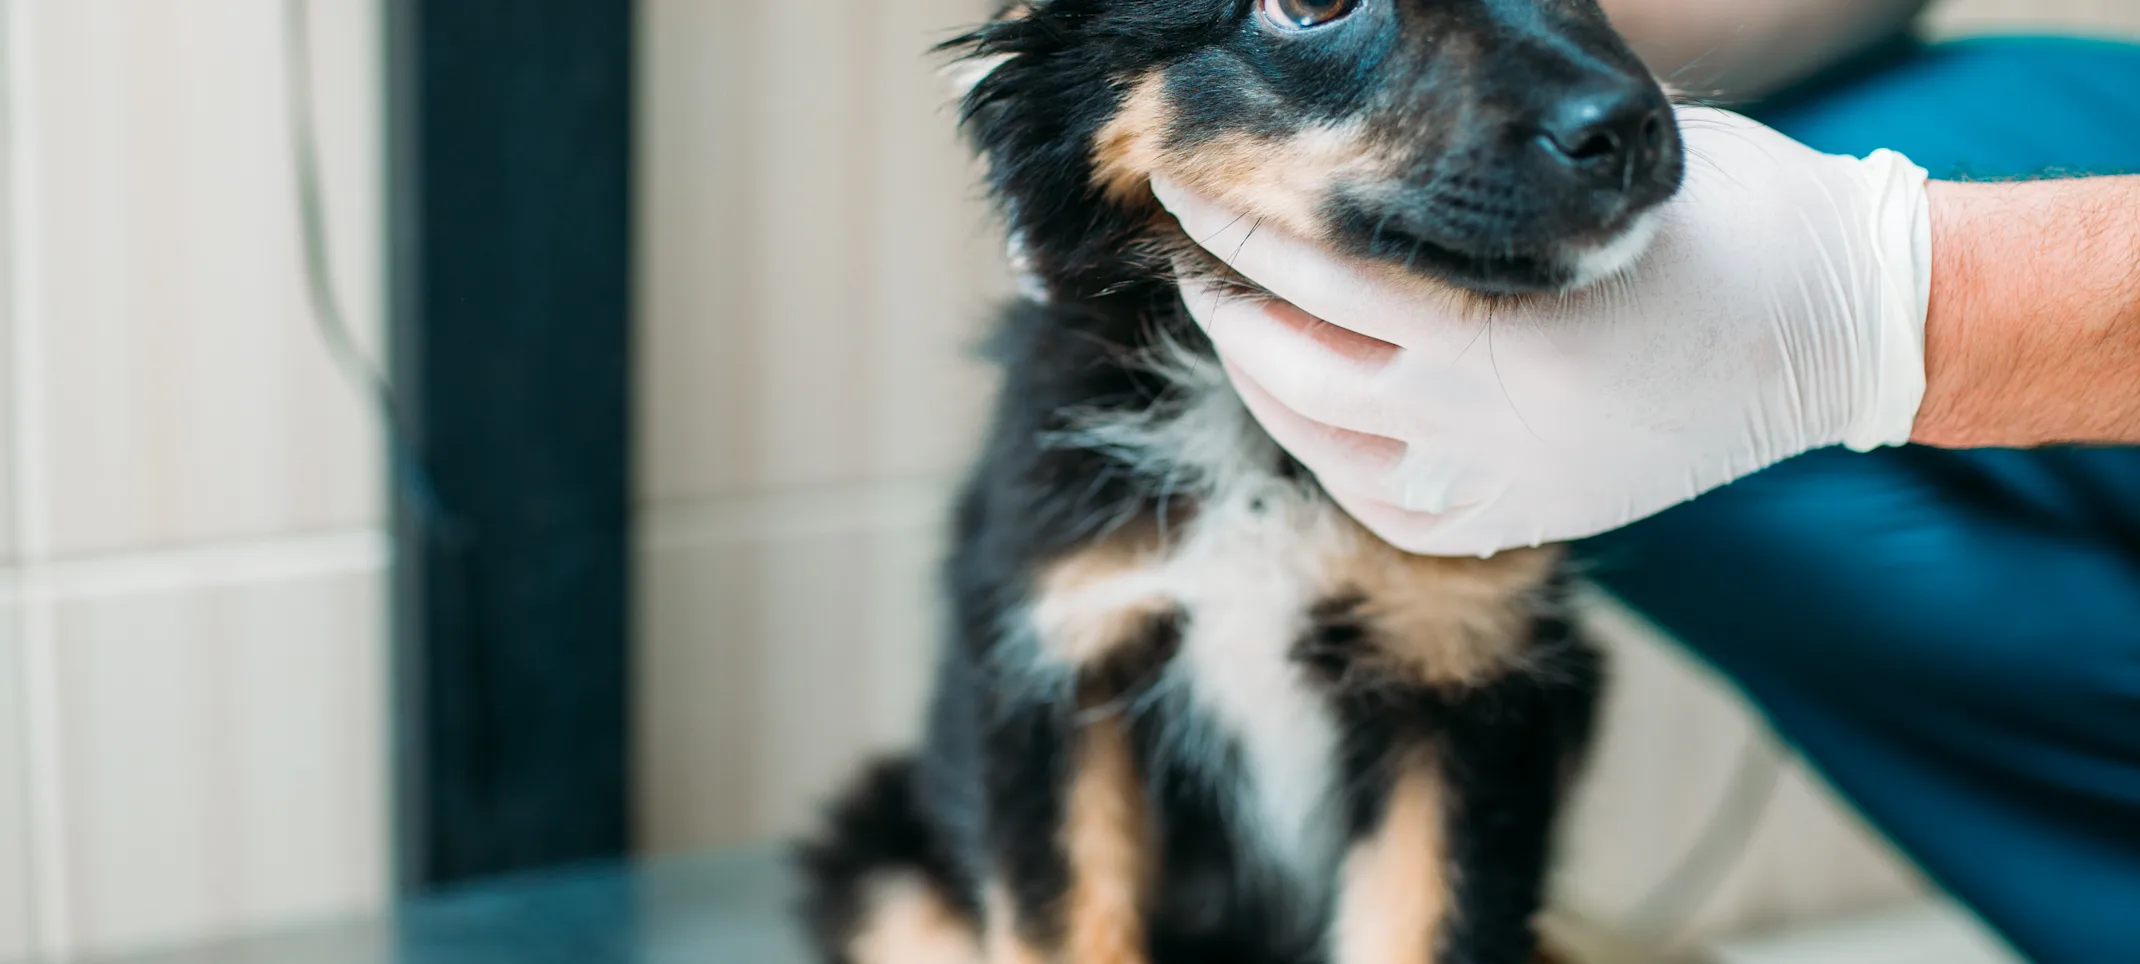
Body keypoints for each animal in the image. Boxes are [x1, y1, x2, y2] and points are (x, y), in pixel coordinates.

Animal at [796, 1, 1677, 964]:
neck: (1259, 444)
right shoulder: (1053, 670)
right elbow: (1065, 925)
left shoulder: (1467, 680)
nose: (1633, 131)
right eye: (1311, 9)